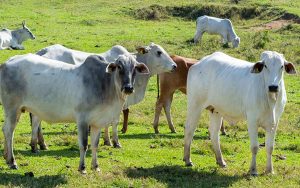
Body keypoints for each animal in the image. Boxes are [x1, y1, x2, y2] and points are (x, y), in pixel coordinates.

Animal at [0, 53, 149, 173]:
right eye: (119, 67)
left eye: (135, 68)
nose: (128, 88)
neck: (105, 85)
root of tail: (7, 62)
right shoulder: (82, 120)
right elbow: (84, 144)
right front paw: (82, 168)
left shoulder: (97, 123)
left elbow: (95, 145)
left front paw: (95, 166)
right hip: (12, 108)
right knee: (9, 131)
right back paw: (12, 161)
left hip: (17, 111)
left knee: (6, 129)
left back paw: (7, 157)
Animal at [29, 43, 177, 152]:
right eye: (158, 52)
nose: (174, 66)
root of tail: (41, 52)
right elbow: (114, 122)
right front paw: (115, 142)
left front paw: (107, 140)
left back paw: (41, 144)